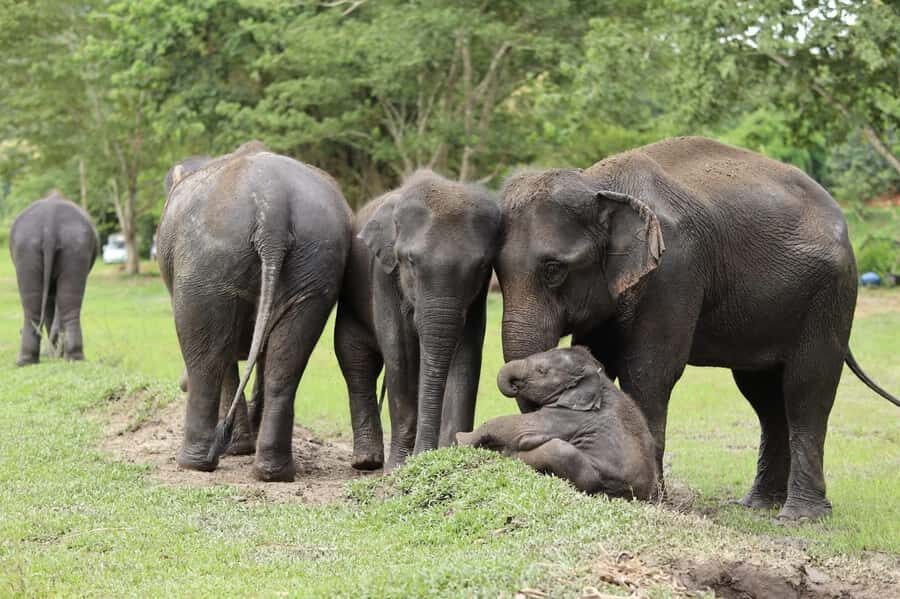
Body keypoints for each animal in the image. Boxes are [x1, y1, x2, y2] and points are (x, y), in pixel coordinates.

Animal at [158, 141, 352, 481]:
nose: (179, 384)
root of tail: (272, 205)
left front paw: (236, 449)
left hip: (206, 262)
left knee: (206, 358)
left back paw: (195, 462)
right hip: (317, 261)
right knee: (286, 361)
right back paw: (273, 472)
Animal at [335, 170, 502, 470]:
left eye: (481, 266)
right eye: (410, 261)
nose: (424, 455)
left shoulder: (478, 293)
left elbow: (467, 352)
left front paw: (449, 457)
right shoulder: (383, 273)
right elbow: (399, 353)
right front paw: (399, 468)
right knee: (356, 362)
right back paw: (366, 462)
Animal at [457, 346, 658, 500]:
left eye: (541, 371)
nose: (514, 386)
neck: (600, 379)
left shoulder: (570, 416)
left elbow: (516, 428)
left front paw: (460, 438)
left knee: (559, 449)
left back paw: (512, 455)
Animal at [496, 136, 899, 521]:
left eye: (554, 270)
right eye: (496, 271)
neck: (599, 184)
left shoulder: (675, 270)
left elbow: (649, 371)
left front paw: (653, 500)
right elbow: (601, 358)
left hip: (829, 295)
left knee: (807, 388)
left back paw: (800, 517)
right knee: (764, 396)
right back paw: (758, 506)